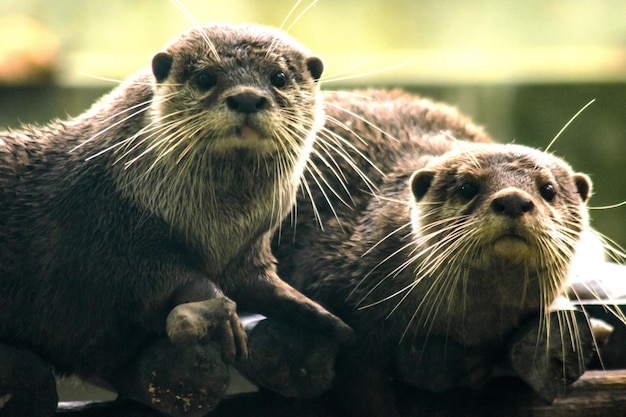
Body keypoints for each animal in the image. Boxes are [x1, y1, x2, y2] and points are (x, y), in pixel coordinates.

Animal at [0, 22, 352, 416]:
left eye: (279, 77)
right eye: (205, 78)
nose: (247, 98)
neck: (219, 228)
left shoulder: (249, 248)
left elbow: (258, 281)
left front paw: (318, 314)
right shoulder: (110, 230)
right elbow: (165, 276)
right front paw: (222, 314)